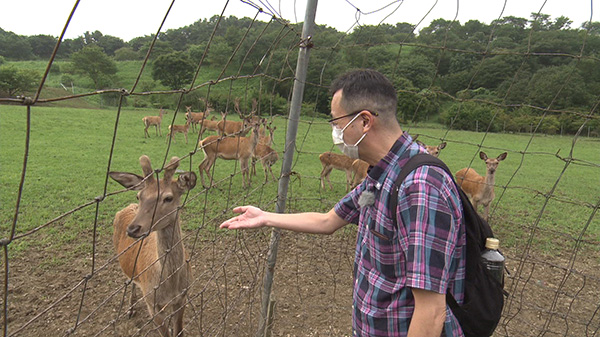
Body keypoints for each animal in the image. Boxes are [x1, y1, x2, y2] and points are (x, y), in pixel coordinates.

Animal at [109, 155, 196, 336]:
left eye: (168, 198)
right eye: (139, 196)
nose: (133, 229)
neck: (170, 287)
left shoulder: (183, 296)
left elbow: (179, 330)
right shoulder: (152, 304)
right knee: (129, 280)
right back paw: (130, 309)